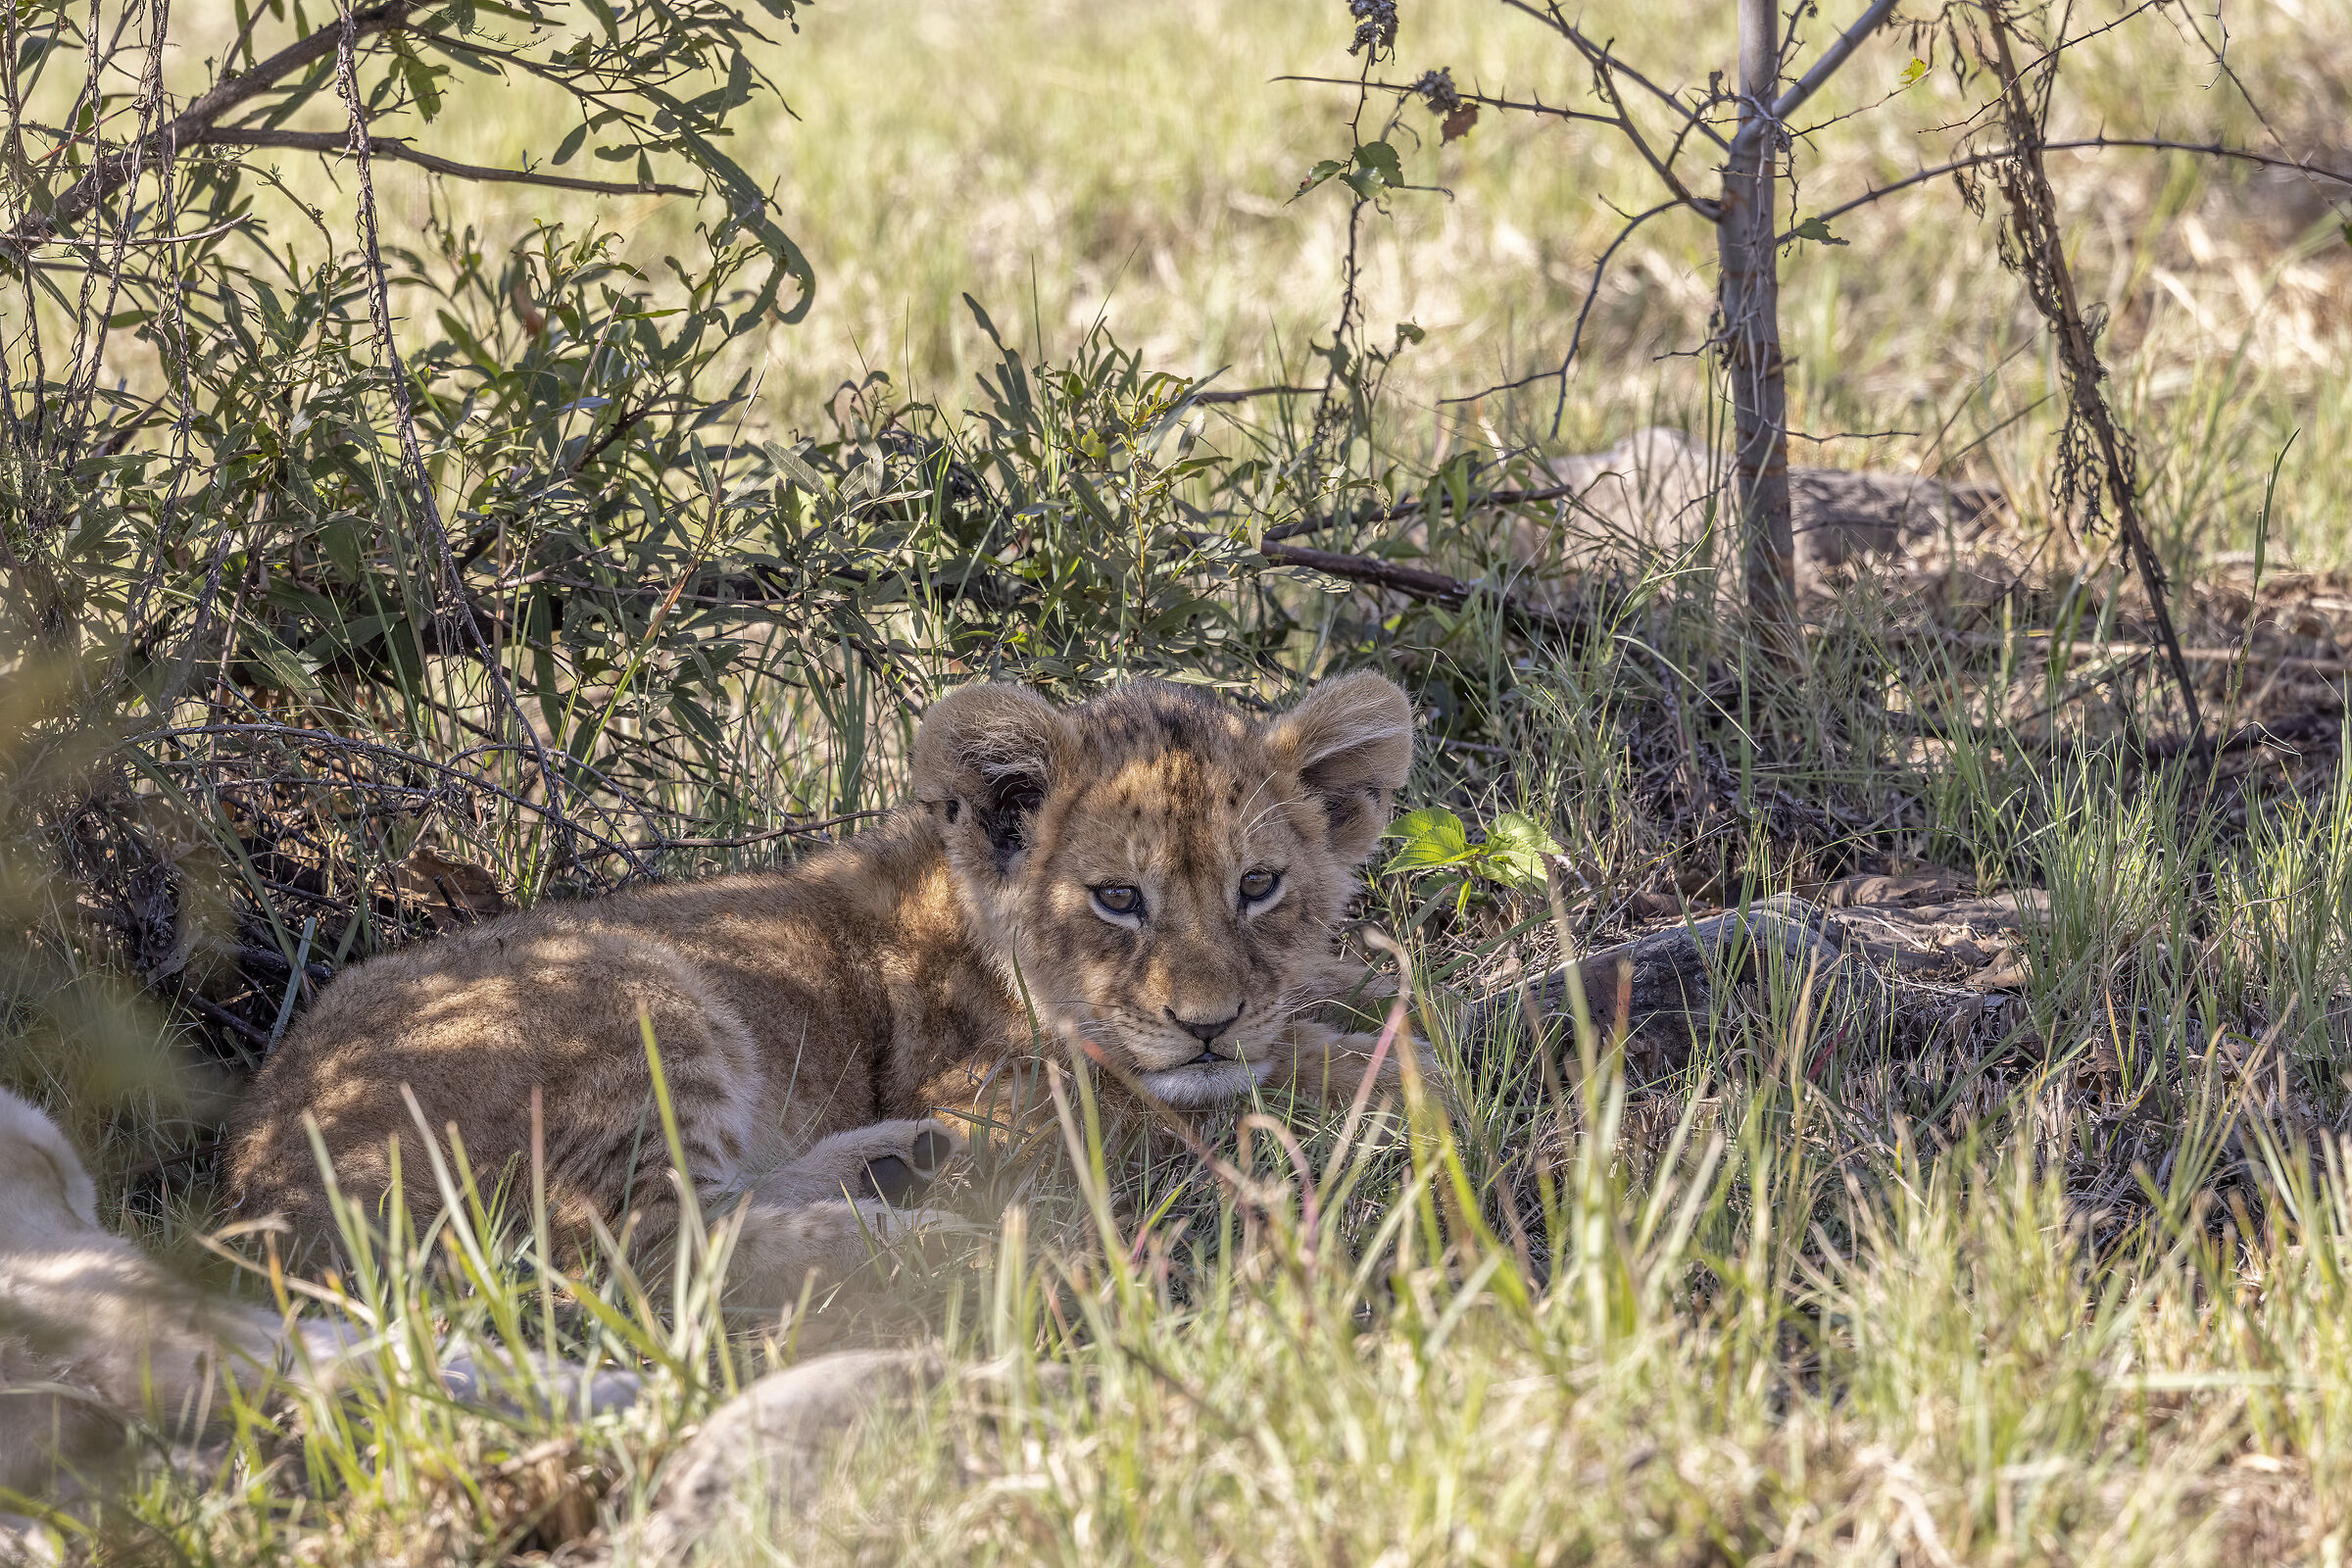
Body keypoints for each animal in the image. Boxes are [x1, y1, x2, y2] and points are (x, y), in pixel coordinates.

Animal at [226, 672, 1425, 1309]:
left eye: (1258, 886)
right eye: (1117, 898)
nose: (1207, 1023)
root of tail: (259, 1196)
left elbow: (1345, 1004)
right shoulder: (996, 1094)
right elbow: (1197, 1104)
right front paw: (1392, 1080)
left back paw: (895, 1168)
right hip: (633, 1000)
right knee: (642, 1255)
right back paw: (947, 1239)